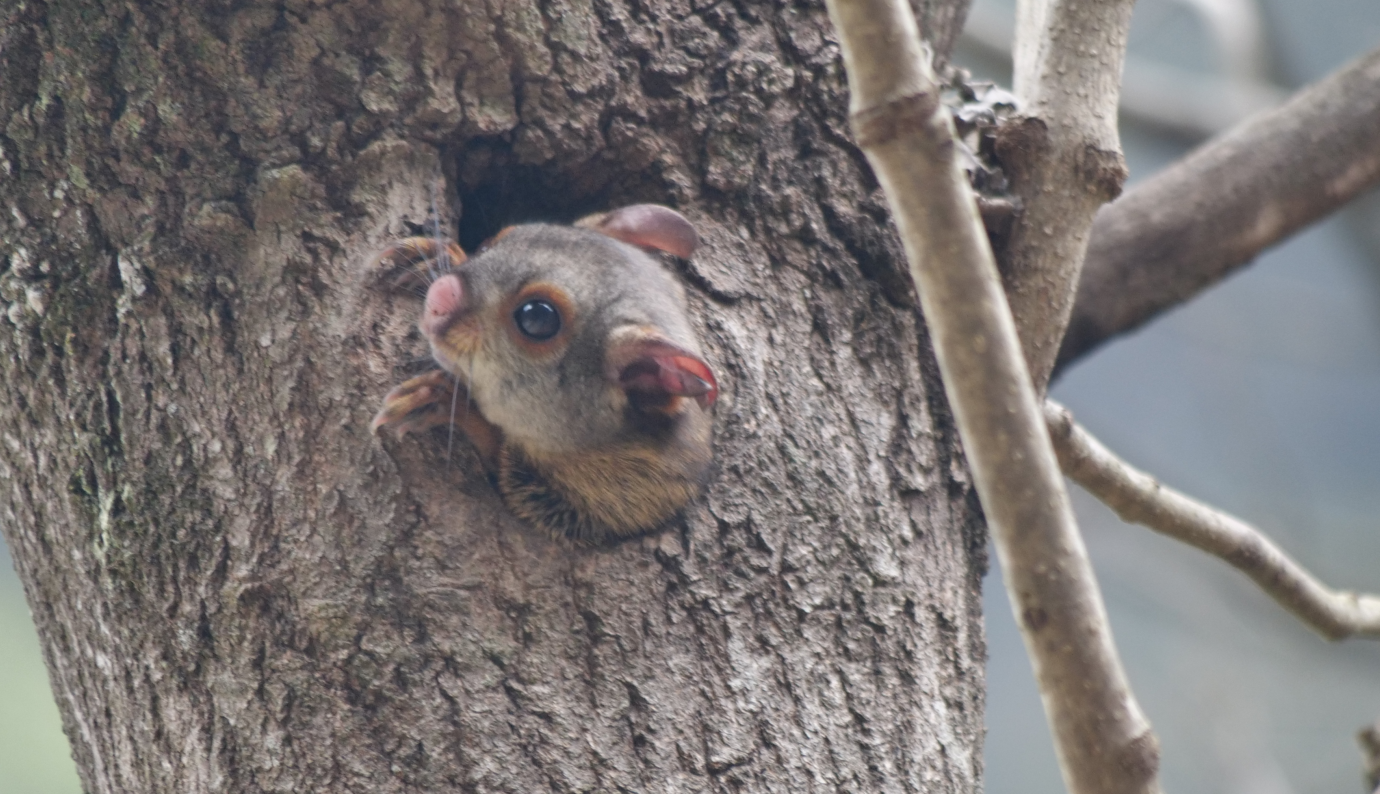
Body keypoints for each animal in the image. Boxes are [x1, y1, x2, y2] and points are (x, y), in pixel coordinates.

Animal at [372, 202, 717, 546]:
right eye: (487, 245)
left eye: (537, 318)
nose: (439, 297)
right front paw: (434, 256)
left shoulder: (622, 496)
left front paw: (446, 404)